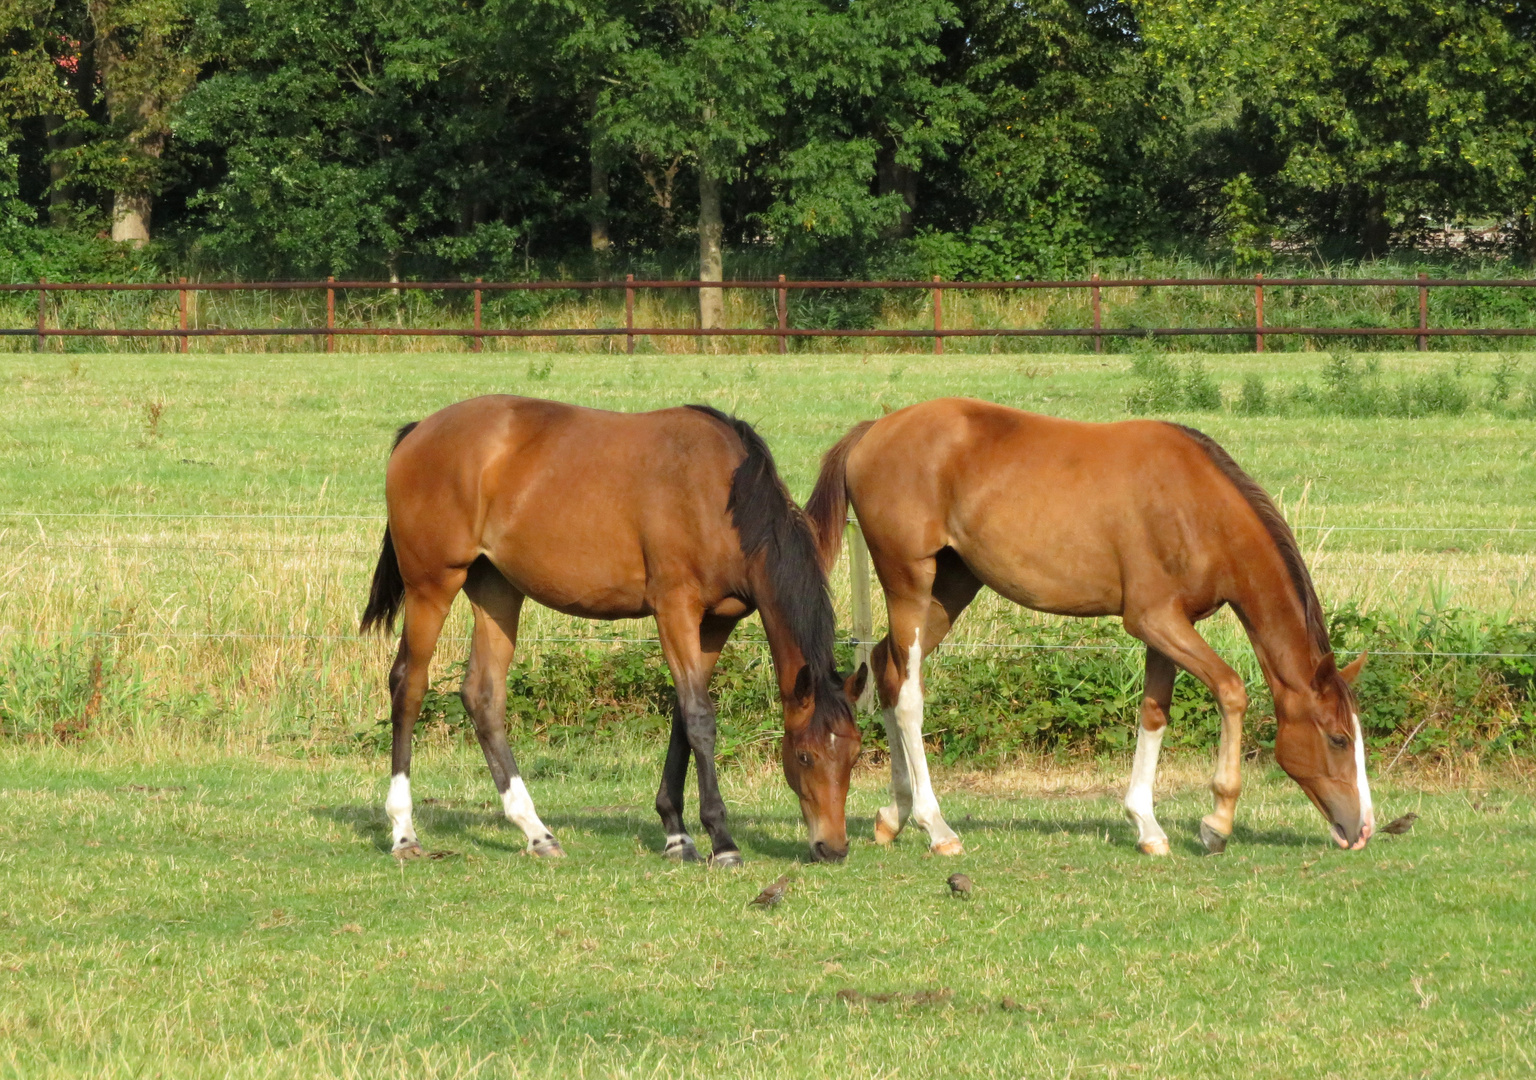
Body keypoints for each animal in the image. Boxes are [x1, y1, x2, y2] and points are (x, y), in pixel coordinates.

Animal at [359, 393, 866, 866]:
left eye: (855, 754)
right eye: (805, 756)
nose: (834, 847)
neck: (723, 495)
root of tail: (419, 430)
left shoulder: (717, 622)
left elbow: (683, 717)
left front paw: (677, 834)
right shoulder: (675, 609)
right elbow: (699, 717)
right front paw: (721, 840)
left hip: (496, 590)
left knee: (483, 695)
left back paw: (536, 831)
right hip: (432, 586)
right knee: (408, 685)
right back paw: (404, 832)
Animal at [811, 402, 1376, 860]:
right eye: (1339, 738)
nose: (1364, 828)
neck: (1197, 506)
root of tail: (872, 430)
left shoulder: (1170, 627)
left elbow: (1154, 713)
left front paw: (1147, 826)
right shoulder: (1154, 620)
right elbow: (1232, 690)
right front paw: (1217, 822)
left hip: (950, 589)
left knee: (885, 671)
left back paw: (894, 816)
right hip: (909, 583)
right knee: (909, 698)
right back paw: (937, 827)